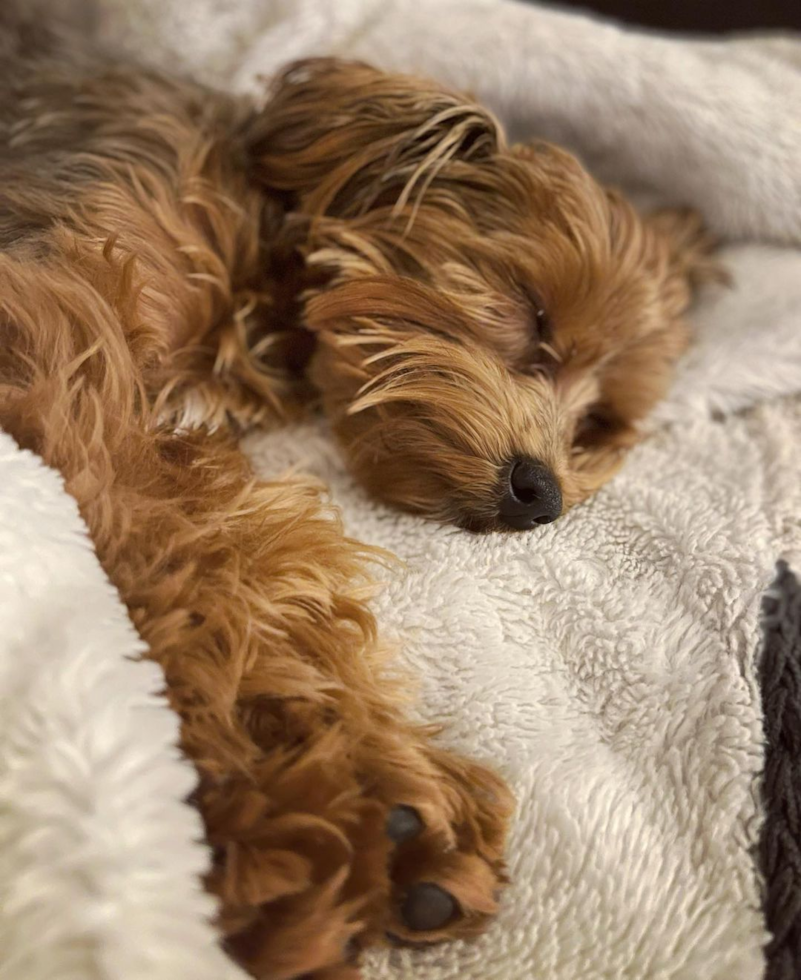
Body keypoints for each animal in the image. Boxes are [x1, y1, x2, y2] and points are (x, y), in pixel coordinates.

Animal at [0, 15, 712, 980]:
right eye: (530, 313)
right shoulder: (56, 361)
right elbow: (171, 555)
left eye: (597, 422)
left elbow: (240, 562)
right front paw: (315, 817)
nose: (540, 493)